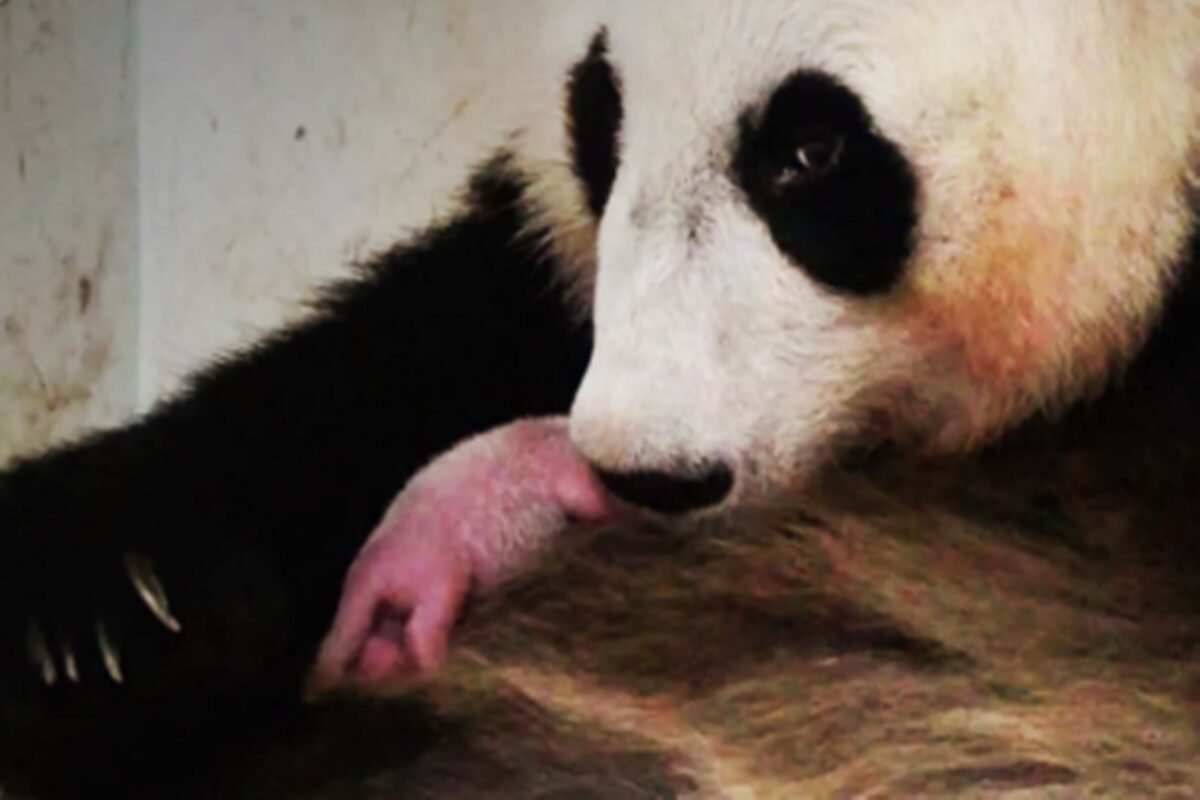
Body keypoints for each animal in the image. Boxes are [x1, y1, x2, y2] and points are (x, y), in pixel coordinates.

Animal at [3, 1, 1200, 797]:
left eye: (811, 149)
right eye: (600, 117)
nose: (646, 473)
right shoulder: (529, 296)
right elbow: (387, 363)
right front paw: (110, 613)